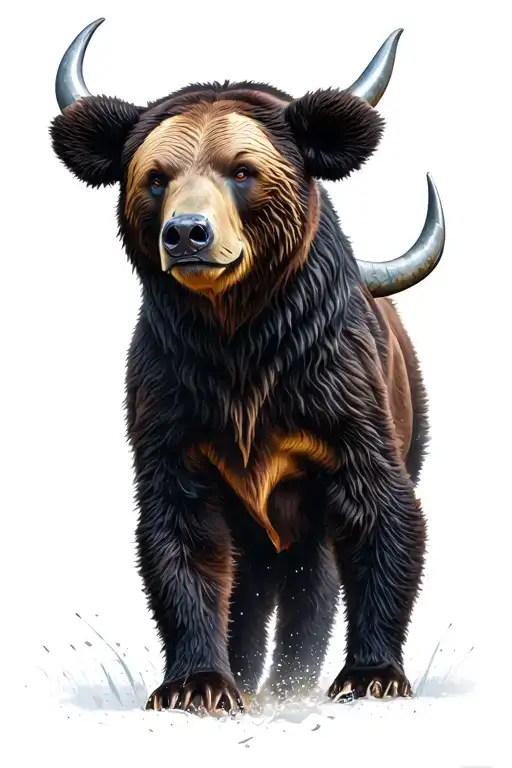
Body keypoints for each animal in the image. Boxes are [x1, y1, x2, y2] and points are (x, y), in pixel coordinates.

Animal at [50, 19, 445, 714]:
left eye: (243, 170)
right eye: (156, 177)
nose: (187, 233)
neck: (242, 357)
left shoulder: (356, 440)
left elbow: (382, 529)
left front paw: (371, 676)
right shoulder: (172, 452)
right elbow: (185, 556)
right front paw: (198, 685)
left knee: (311, 588)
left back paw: (292, 684)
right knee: (254, 589)